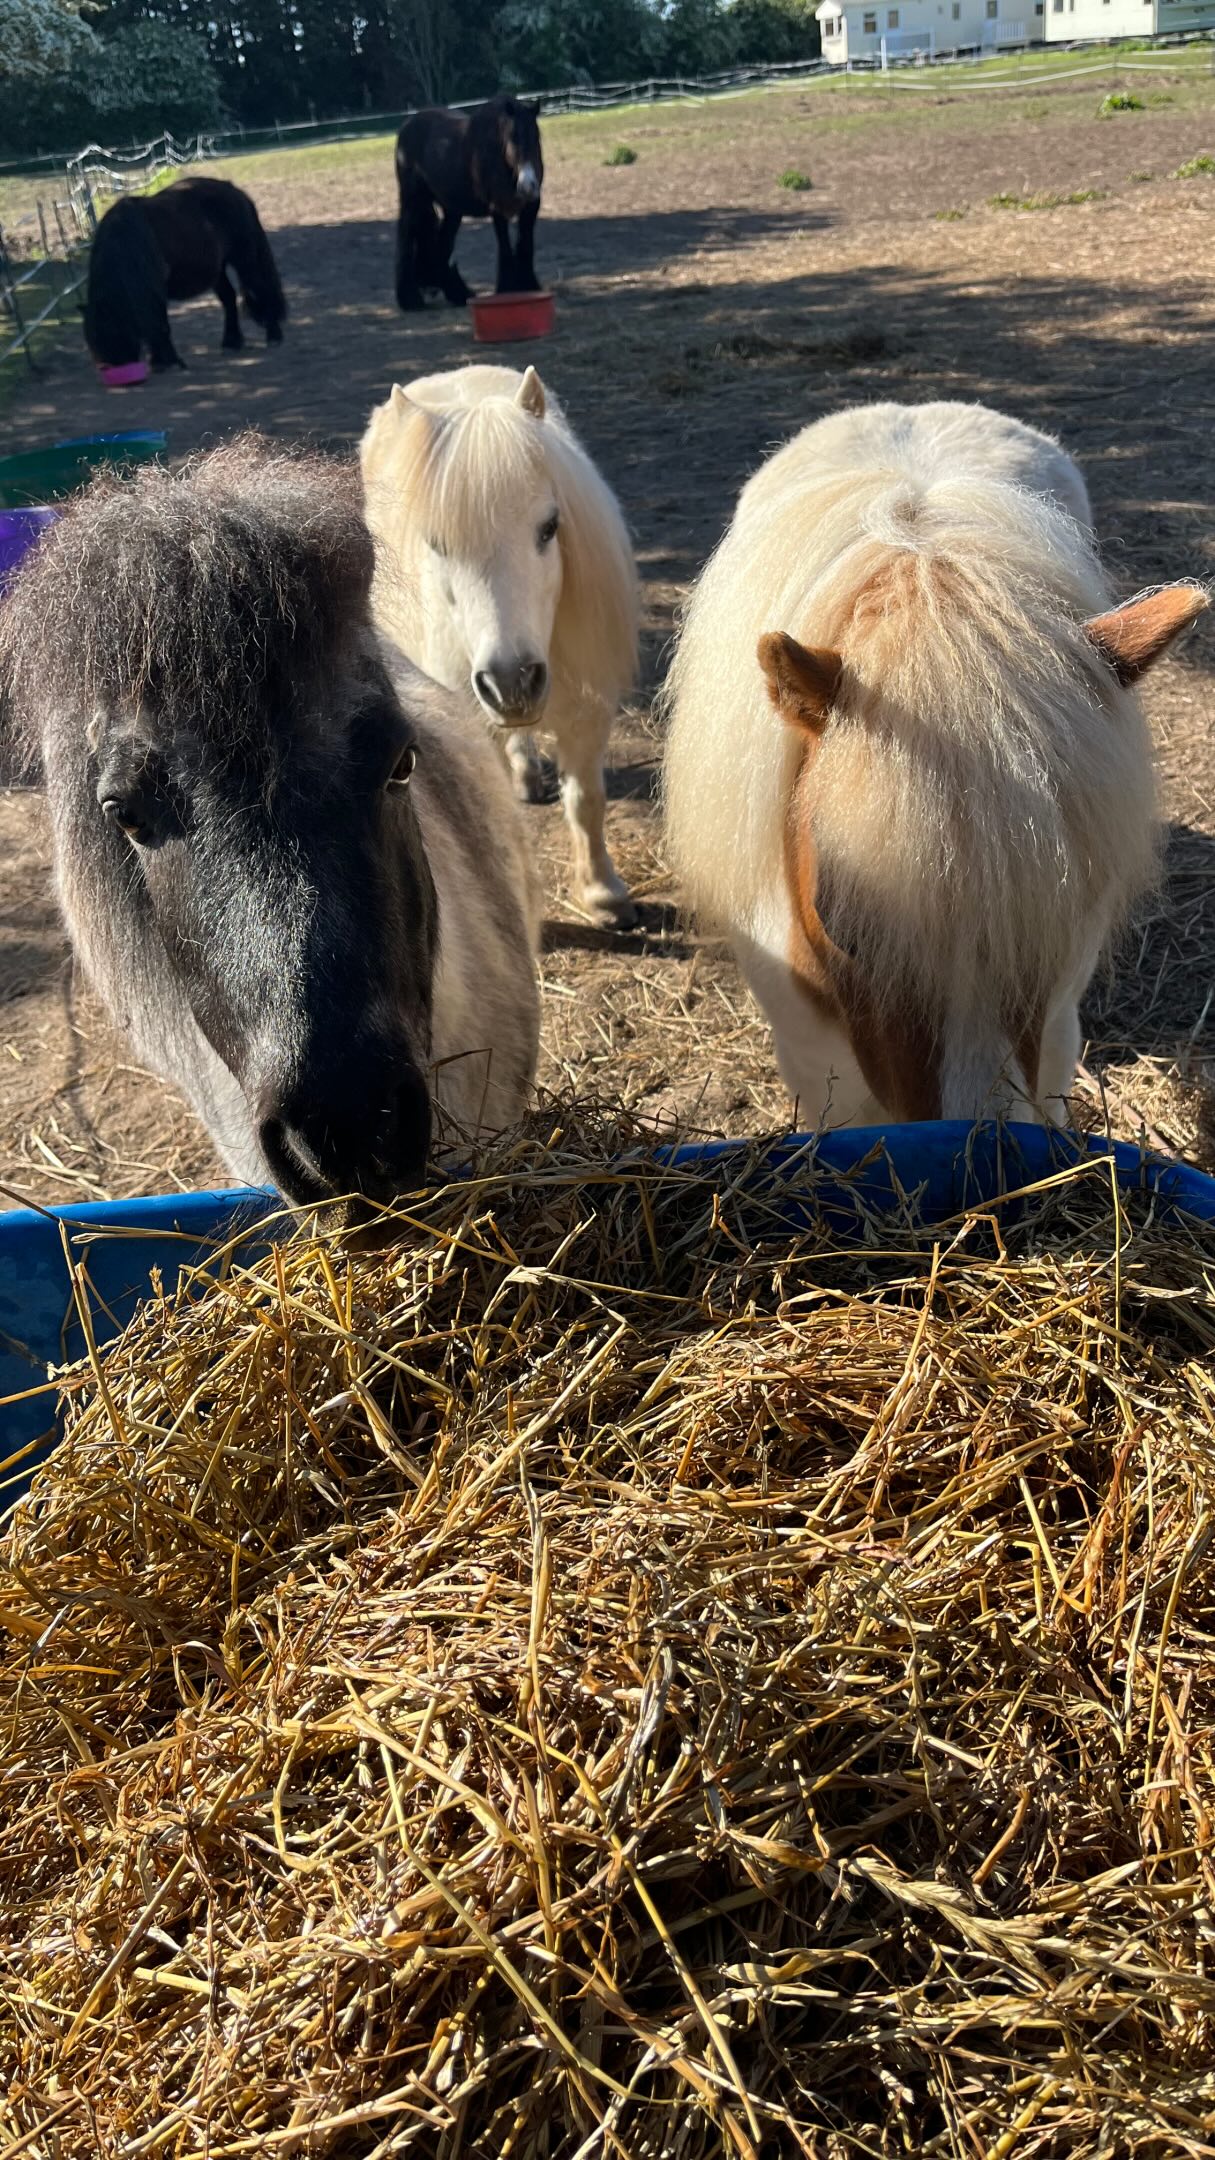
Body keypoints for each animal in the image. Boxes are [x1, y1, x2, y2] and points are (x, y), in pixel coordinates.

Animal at [83, 176, 287, 373]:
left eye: (110, 332)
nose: (107, 367)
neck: (129, 239)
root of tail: (233, 190)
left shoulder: (155, 290)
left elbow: (159, 323)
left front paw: (169, 362)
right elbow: (153, 322)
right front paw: (160, 361)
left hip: (244, 260)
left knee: (261, 290)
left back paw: (273, 336)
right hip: (218, 270)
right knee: (228, 298)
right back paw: (231, 342)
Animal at [361, 363, 639, 929]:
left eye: (550, 526)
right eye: (437, 544)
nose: (512, 682)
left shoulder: (588, 711)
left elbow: (587, 800)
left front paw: (604, 892)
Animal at [394, 94, 543, 312]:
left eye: (537, 137)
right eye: (513, 137)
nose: (528, 185)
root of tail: (408, 124)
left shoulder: (531, 208)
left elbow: (526, 245)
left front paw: (531, 287)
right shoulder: (498, 209)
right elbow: (506, 248)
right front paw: (507, 290)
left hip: (450, 208)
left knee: (442, 246)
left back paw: (458, 293)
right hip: (412, 200)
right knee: (406, 237)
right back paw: (410, 300)